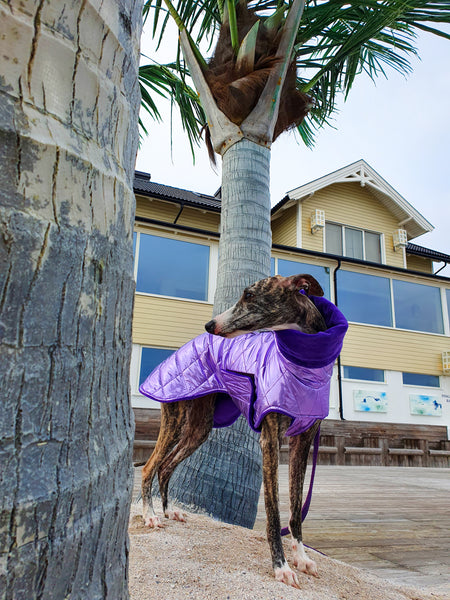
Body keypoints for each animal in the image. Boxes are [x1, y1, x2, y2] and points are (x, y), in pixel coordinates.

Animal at [143, 274, 326, 588]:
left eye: (249, 295)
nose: (208, 326)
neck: (305, 363)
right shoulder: (270, 439)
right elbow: (274, 513)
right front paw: (281, 567)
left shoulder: (303, 442)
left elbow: (295, 510)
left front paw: (301, 558)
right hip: (175, 416)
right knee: (149, 467)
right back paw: (150, 515)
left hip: (199, 429)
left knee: (165, 466)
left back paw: (167, 511)